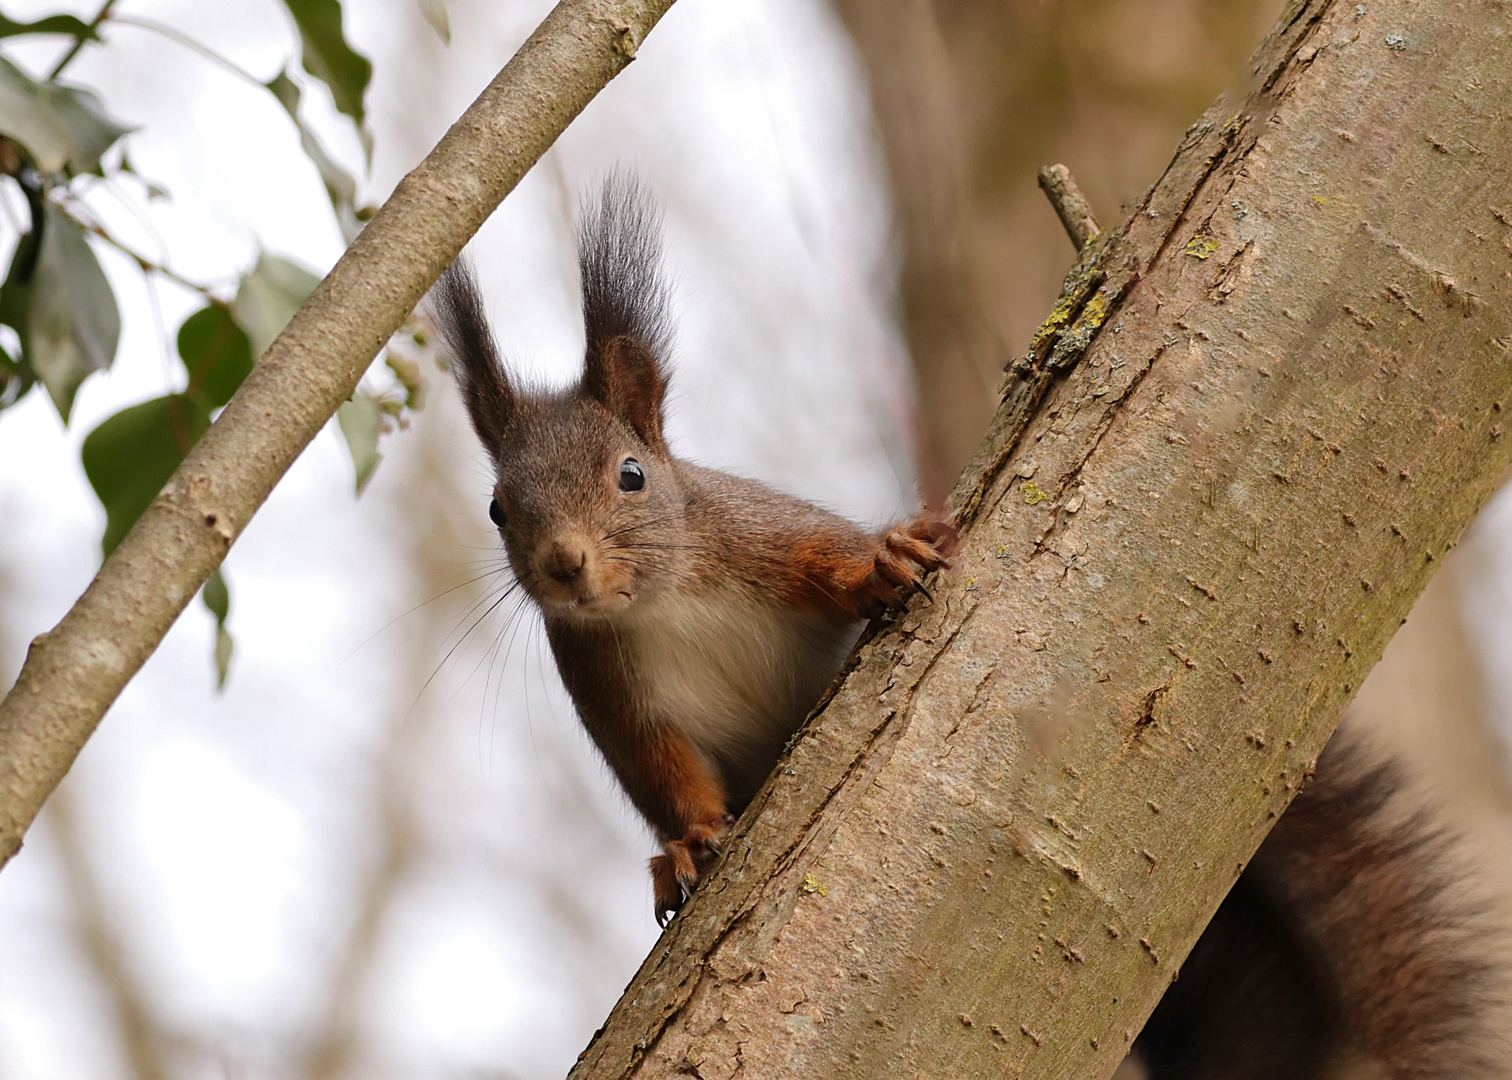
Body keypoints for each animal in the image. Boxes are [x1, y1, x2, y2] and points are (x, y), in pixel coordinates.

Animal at [426, 174, 949, 919]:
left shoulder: (754, 532)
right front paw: (688, 844)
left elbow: (823, 555)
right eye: (496, 509)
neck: (661, 601)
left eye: (632, 475)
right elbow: (664, 771)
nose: (564, 562)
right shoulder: (610, 690)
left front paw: (880, 565)